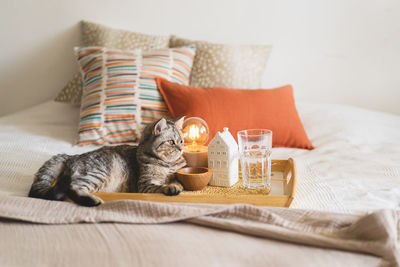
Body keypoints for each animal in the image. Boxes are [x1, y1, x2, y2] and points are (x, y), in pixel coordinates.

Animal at [28, 117, 188, 207]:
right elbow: (161, 186)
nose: (181, 148)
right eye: (171, 142)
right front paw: (170, 187)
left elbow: (177, 181)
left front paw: (176, 183)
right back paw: (93, 201)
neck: (168, 164)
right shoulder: (145, 185)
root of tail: (70, 156)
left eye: (181, 141)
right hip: (100, 173)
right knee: (72, 187)